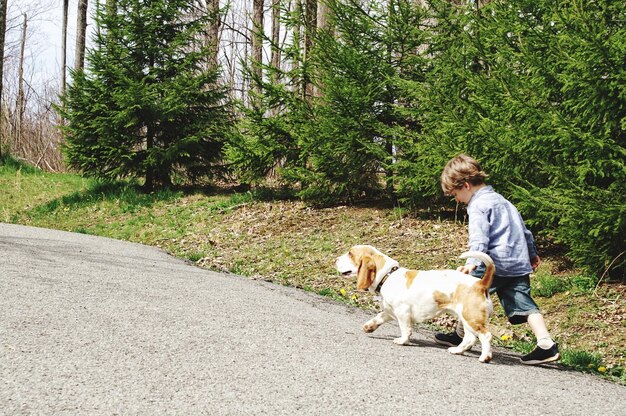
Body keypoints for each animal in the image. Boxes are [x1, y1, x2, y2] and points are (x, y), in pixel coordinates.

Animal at [334, 245, 494, 362]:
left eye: (350, 253)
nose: (335, 260)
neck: (387, 275)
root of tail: (480, 284)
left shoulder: (402, 313)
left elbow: (405, 329)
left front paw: (402, 341)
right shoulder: (390, 311)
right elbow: (379, 317)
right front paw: (369, 327)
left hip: (471, 318)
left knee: (485, 336)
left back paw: (485, 357)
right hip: (466, 319)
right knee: (469, 338)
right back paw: (457, 350)